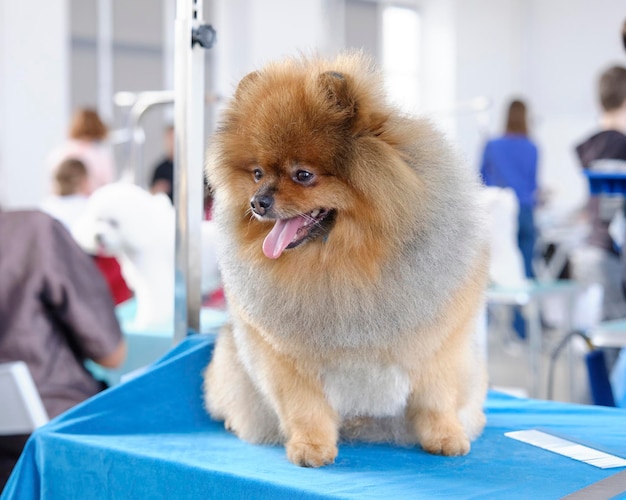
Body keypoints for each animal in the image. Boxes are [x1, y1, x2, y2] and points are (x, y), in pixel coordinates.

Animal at [202, 50, 490, 464]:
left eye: (303, 175)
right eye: (256, 173)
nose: (258, 202)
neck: (343, 263)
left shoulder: (437, 344)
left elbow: (436, 398)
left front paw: (445, 436)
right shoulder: (288, 361)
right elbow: (305, 407)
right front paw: (311, 447)